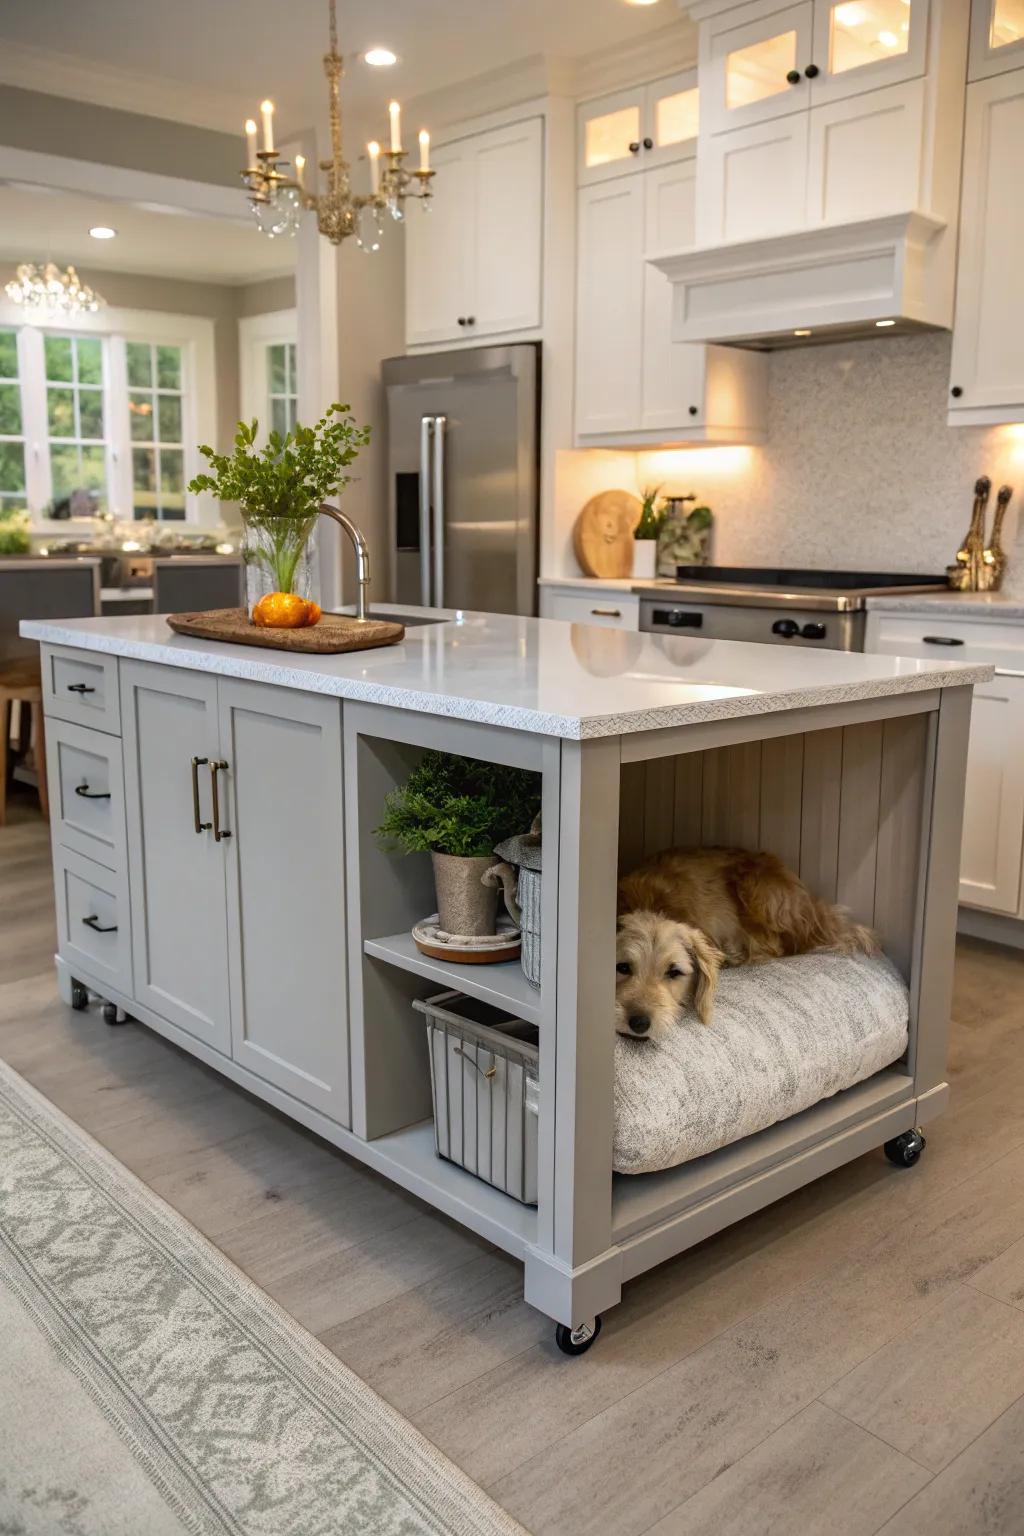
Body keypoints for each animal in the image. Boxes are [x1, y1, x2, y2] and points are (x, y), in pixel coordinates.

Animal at [617, 847, 884, 1038]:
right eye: (622, 967)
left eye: (674, 972)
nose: (639, 1022)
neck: (652, 905)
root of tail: (814, 908)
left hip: (758, 890)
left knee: (778, 946)